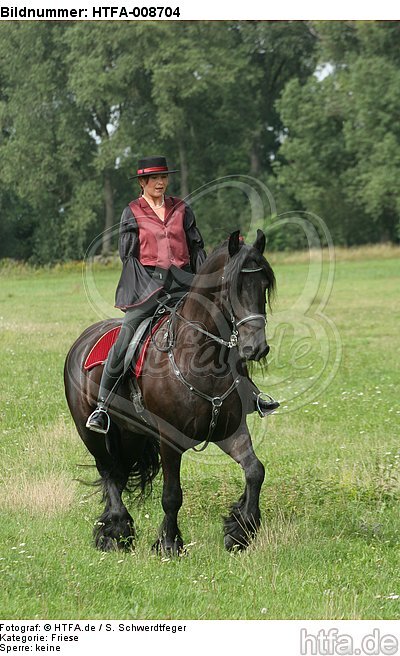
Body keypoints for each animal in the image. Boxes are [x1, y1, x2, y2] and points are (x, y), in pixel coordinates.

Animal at [64, 229, 276, 553]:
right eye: (234, 287)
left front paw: (240, 530)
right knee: (108, 472)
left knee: (119, 473)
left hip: (131, 434)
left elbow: (255, 471)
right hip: (91, 434)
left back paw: (116, 530)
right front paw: (169, 543)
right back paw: (116, 531)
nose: (256, 348)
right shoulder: (170, 439)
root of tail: (83, 340)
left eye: (263, 285)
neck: (199, 359)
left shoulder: (229, 431)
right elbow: (172, 494)